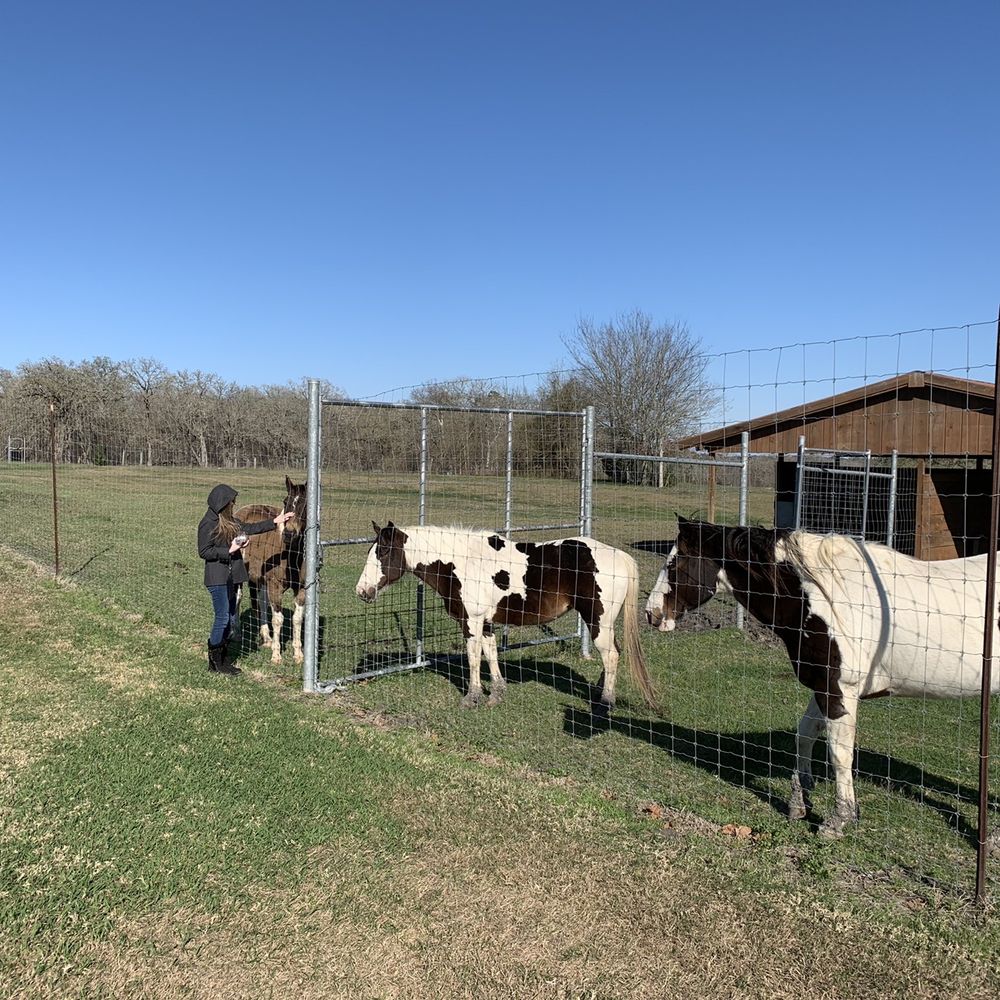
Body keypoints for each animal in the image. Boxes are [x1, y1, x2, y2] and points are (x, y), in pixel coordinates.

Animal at [355, 522, 659, 716]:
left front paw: (472, 698)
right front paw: (497, 694)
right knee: (612, 654)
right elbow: (490, 654)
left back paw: (605, 703)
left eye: (382, 552)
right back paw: (599, 693)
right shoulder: (486, 623)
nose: (362, 591)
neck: (462, 562)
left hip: (597, 621)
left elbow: (474, 657)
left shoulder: (472, 621)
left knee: (611, 656)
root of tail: (620, 557)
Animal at [644, 516, 1000, 839]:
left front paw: (839, 820)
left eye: (674, 563)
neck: (827, 598)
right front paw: (799, 802)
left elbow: (839, 754)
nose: (651, 613)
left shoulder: (838, 691)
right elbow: (805, 735)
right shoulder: (822, 687)